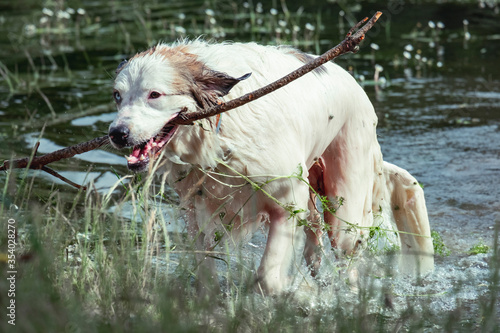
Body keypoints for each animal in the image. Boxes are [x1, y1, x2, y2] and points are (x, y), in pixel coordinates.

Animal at [108, 39, 434, 294]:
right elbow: (204, 270)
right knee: (315, 239)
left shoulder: (286, 201)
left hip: (346, 200)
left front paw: (298, 297)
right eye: (117, 96)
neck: (221, 126)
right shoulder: (196, 209)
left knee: (347, 252)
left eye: (154, 94)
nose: (116, 133)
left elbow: (266, 278)